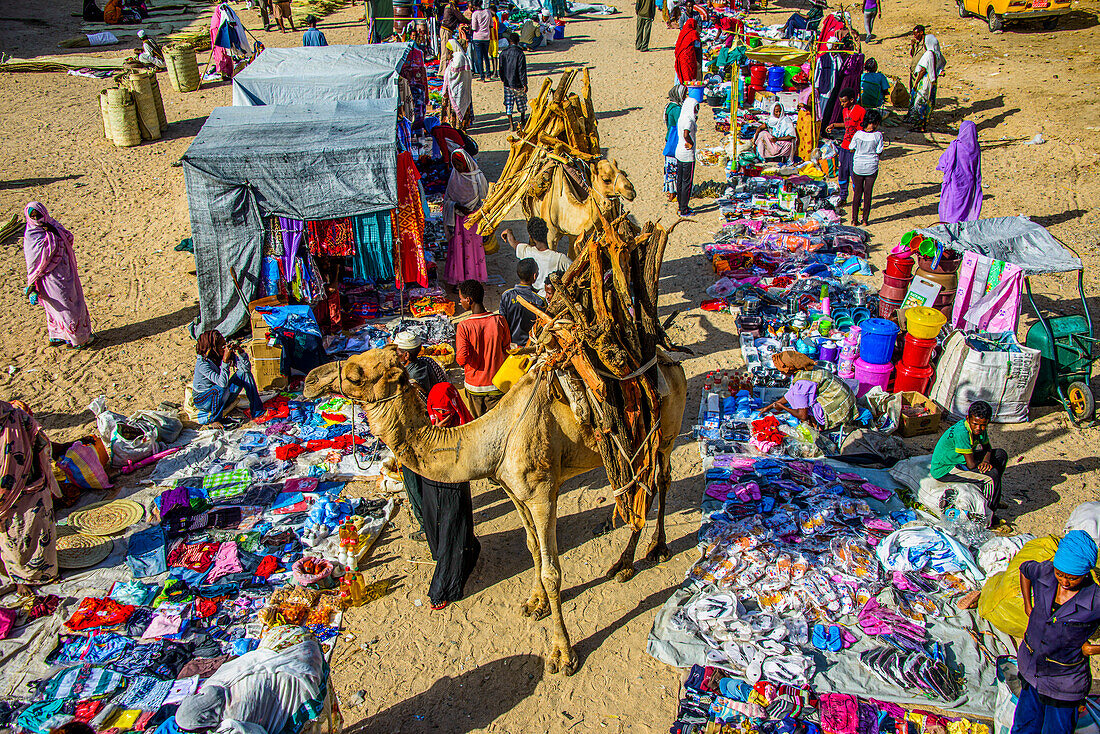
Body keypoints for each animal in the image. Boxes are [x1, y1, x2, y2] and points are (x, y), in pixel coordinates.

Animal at [303, 347, 686, 673]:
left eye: (356, 374)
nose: (309, 380)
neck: (494, 438)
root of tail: (672, 360)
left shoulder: (542, 494)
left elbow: (553, 572)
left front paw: (562, 654)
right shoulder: (514, 491)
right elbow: (532, 549)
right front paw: (535, 603)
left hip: (667, 429)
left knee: (662, 479)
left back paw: (654, 550)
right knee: (643, 485)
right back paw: (624, 562)